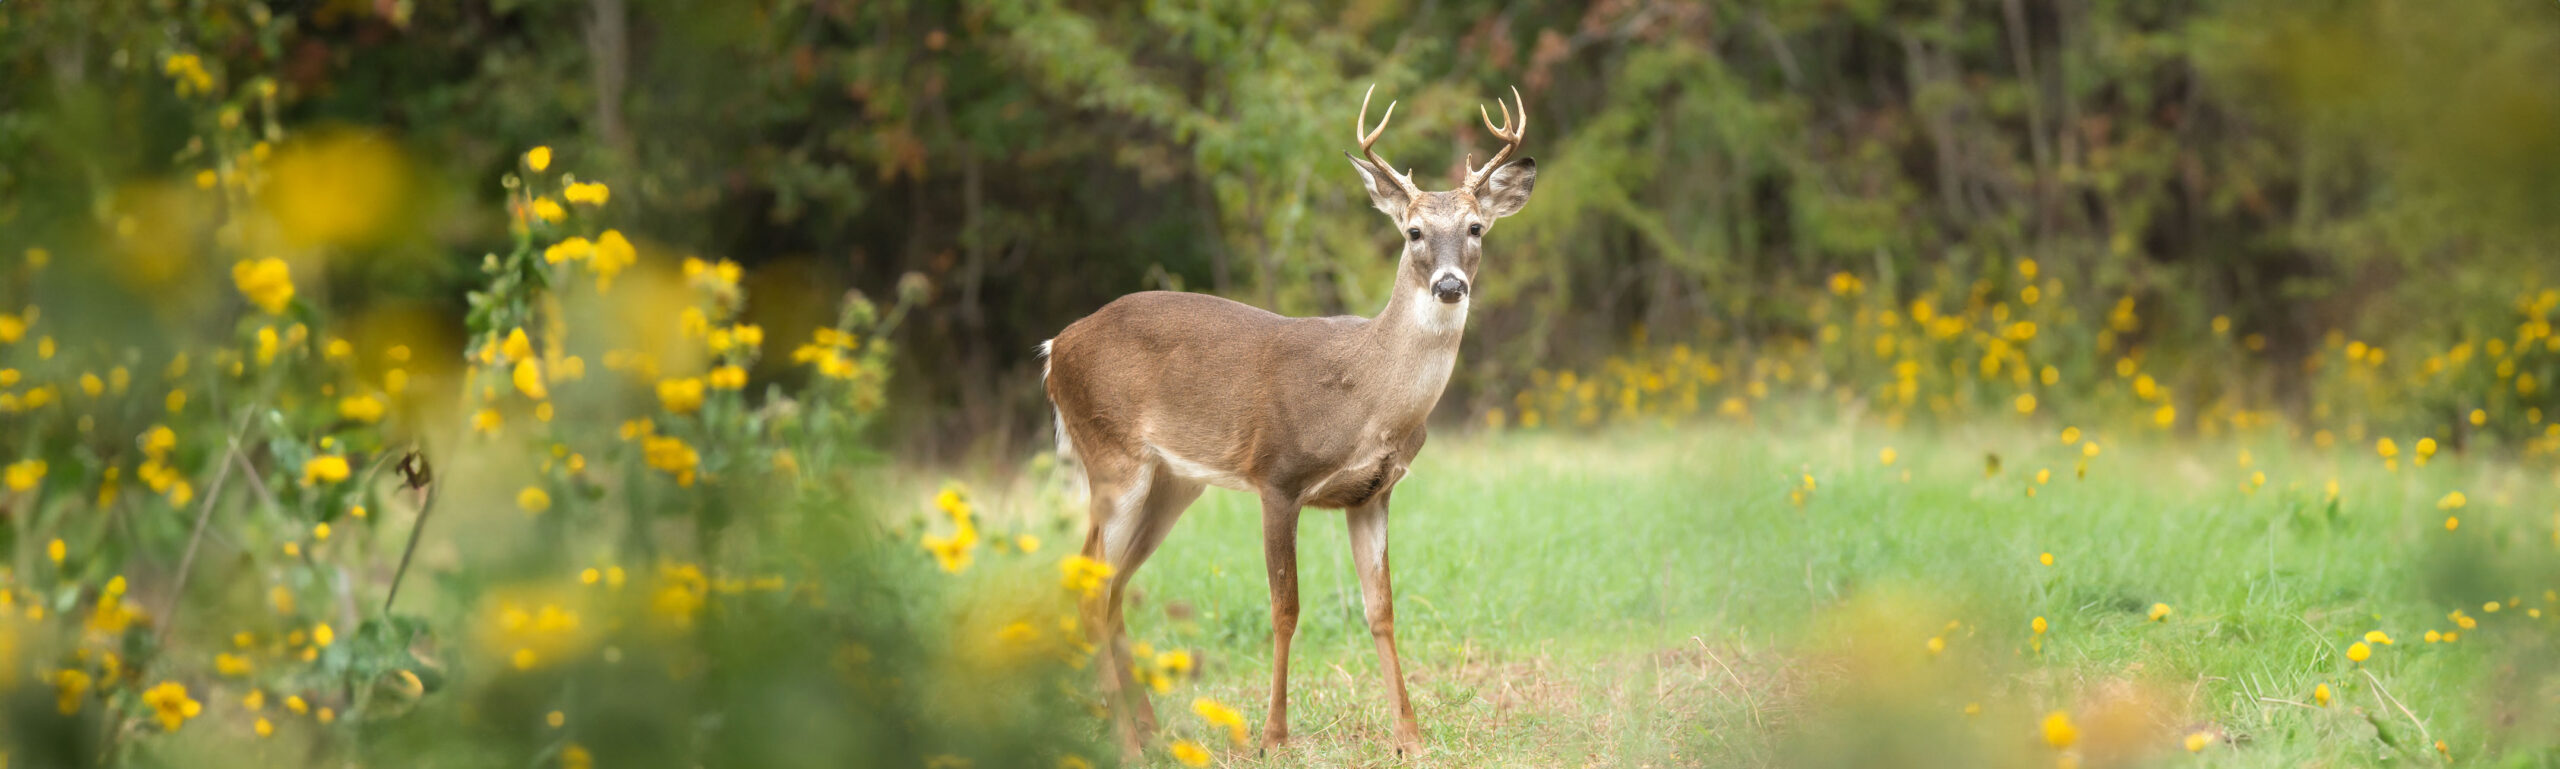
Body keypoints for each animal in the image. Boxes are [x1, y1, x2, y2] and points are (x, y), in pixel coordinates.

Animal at [1039, 85, 1536, 758]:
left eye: (1476, 227)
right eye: (1413, 232)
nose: (1450, 285)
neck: (1368, 397)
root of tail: (1054, 348)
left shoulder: (1373, 493)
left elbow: (1381, 609)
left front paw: (1410, 737)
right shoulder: (1277, 475)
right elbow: (1285, 609)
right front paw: (1274, 735)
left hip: (1173, 482)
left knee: (1112, 584)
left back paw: (1151, 731)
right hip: (1113, 457)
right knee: (1089, 584)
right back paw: (1128, 745)